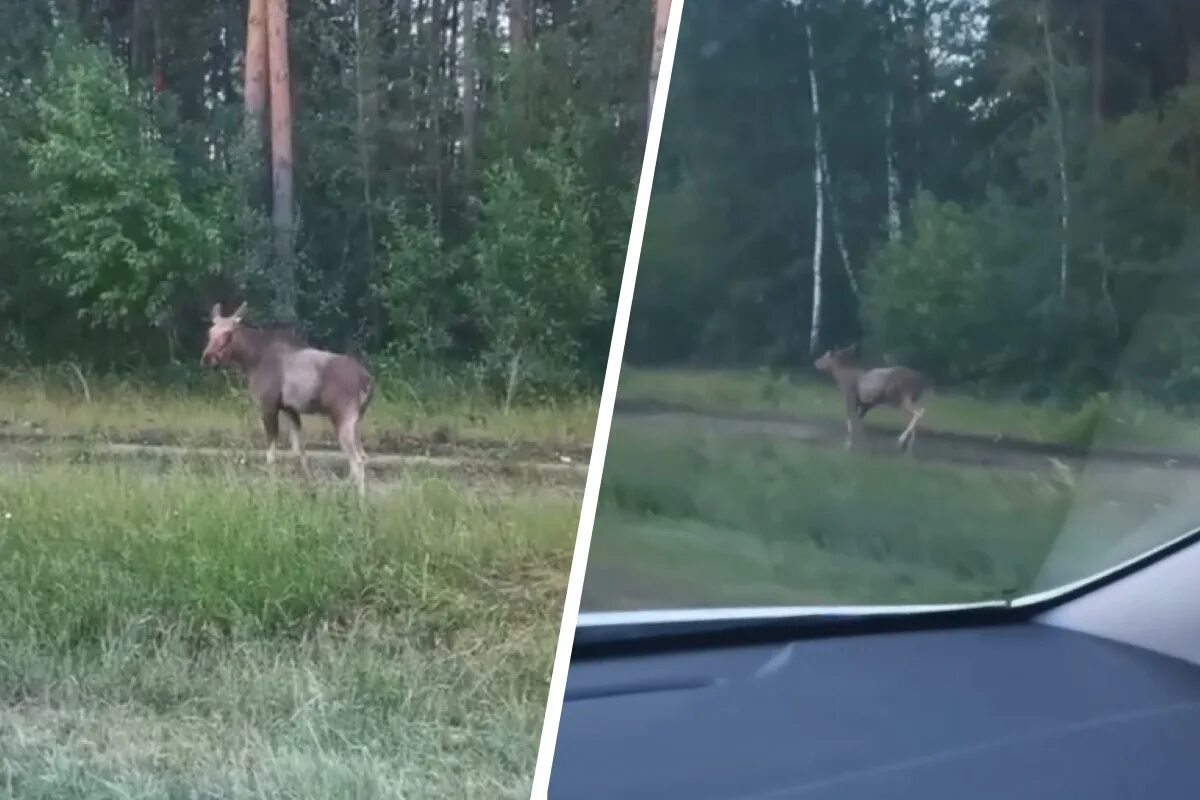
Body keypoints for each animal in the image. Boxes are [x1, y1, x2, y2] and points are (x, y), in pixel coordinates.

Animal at [200, 303, 374, 496]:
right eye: (210, 332)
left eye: (228, 333)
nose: (207, 357)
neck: (251, 362)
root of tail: (367, 380)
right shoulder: (290, 410)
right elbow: (299, 451)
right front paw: (309, 487)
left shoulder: (267, 407)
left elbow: (271, 455)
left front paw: (272, 488)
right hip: (357, 420)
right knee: (363, 456)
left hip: (343, 417)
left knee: (356, 461)